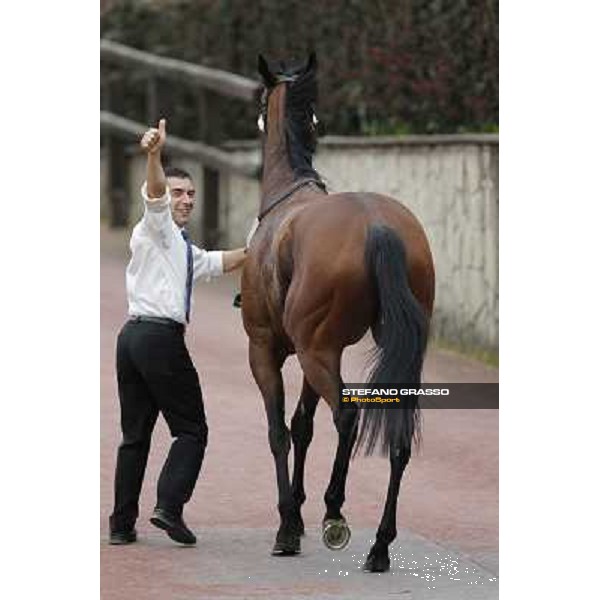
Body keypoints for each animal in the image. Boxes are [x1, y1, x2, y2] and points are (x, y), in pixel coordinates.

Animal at [240, 52, 436, 572]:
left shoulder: (266, 350)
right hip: (363, 354)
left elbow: (279, 431)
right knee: (398, 438)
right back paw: (380, 545)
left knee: (347, 417)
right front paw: (297, 513)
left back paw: (335, 511)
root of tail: (378, 224)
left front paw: (289, 525)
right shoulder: (315, 354)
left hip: (315, 353)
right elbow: (302, 426)